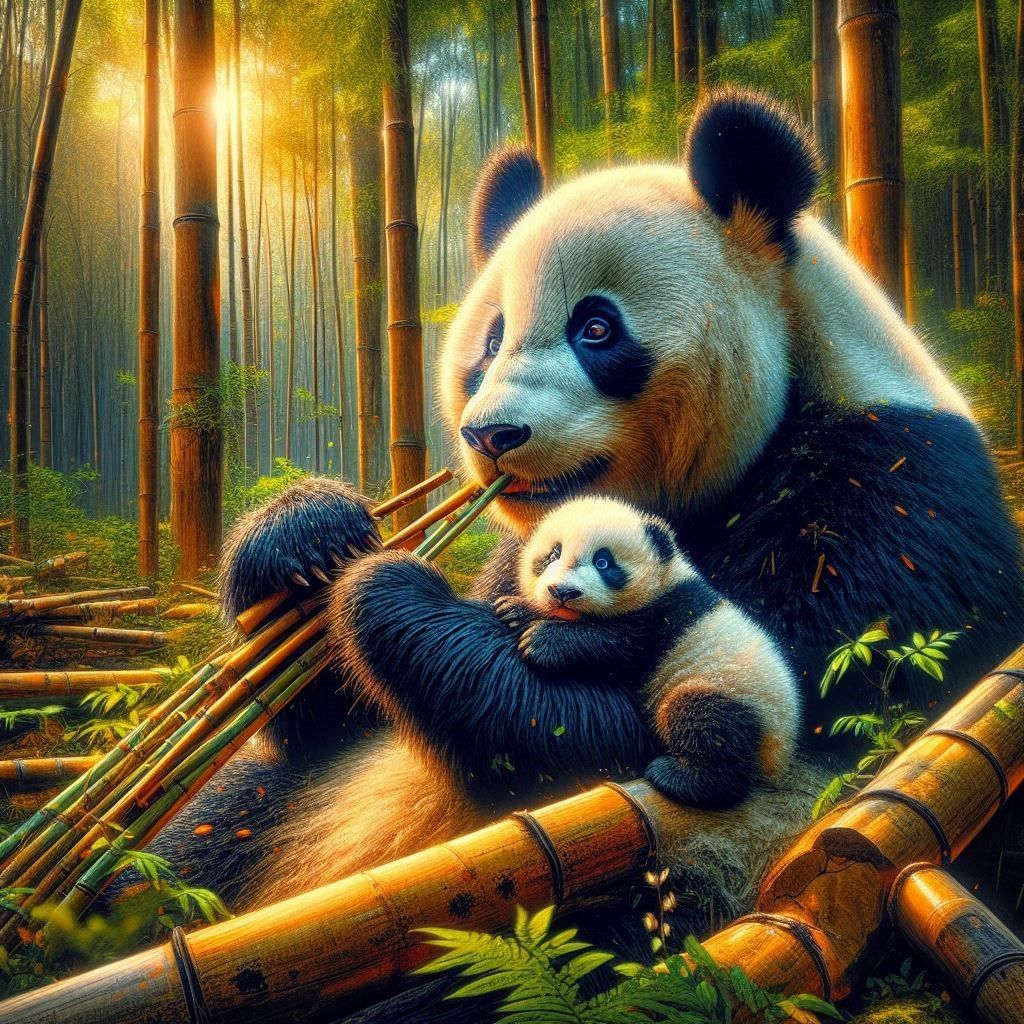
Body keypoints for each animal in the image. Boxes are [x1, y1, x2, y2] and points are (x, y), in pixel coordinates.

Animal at [150, 86, 1023, 994]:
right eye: (490, 340)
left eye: (596, 329)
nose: (491, 435)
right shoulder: (515, 552)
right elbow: (326, 713)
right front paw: (312, 540)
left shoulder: (887, 508)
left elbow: (665, 727)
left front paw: (390, 590)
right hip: (275, 824)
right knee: (220, 820)